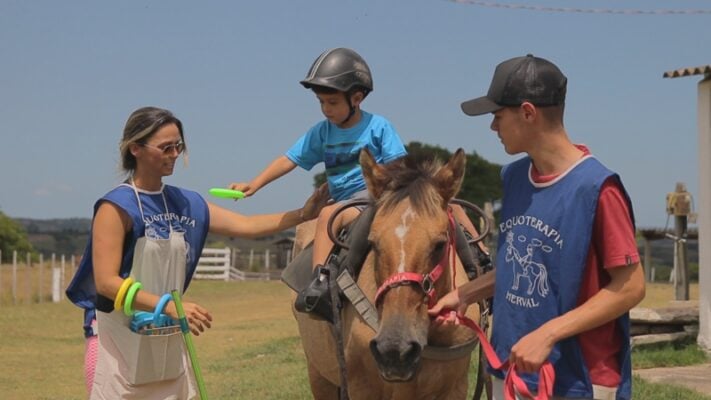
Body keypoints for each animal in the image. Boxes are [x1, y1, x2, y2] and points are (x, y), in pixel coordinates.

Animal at [290, 148, 484, 398]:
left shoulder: (455, 388)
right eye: (373, 242)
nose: (394, 350)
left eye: (440, 245)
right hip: (318, 374)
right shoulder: (361, 387)